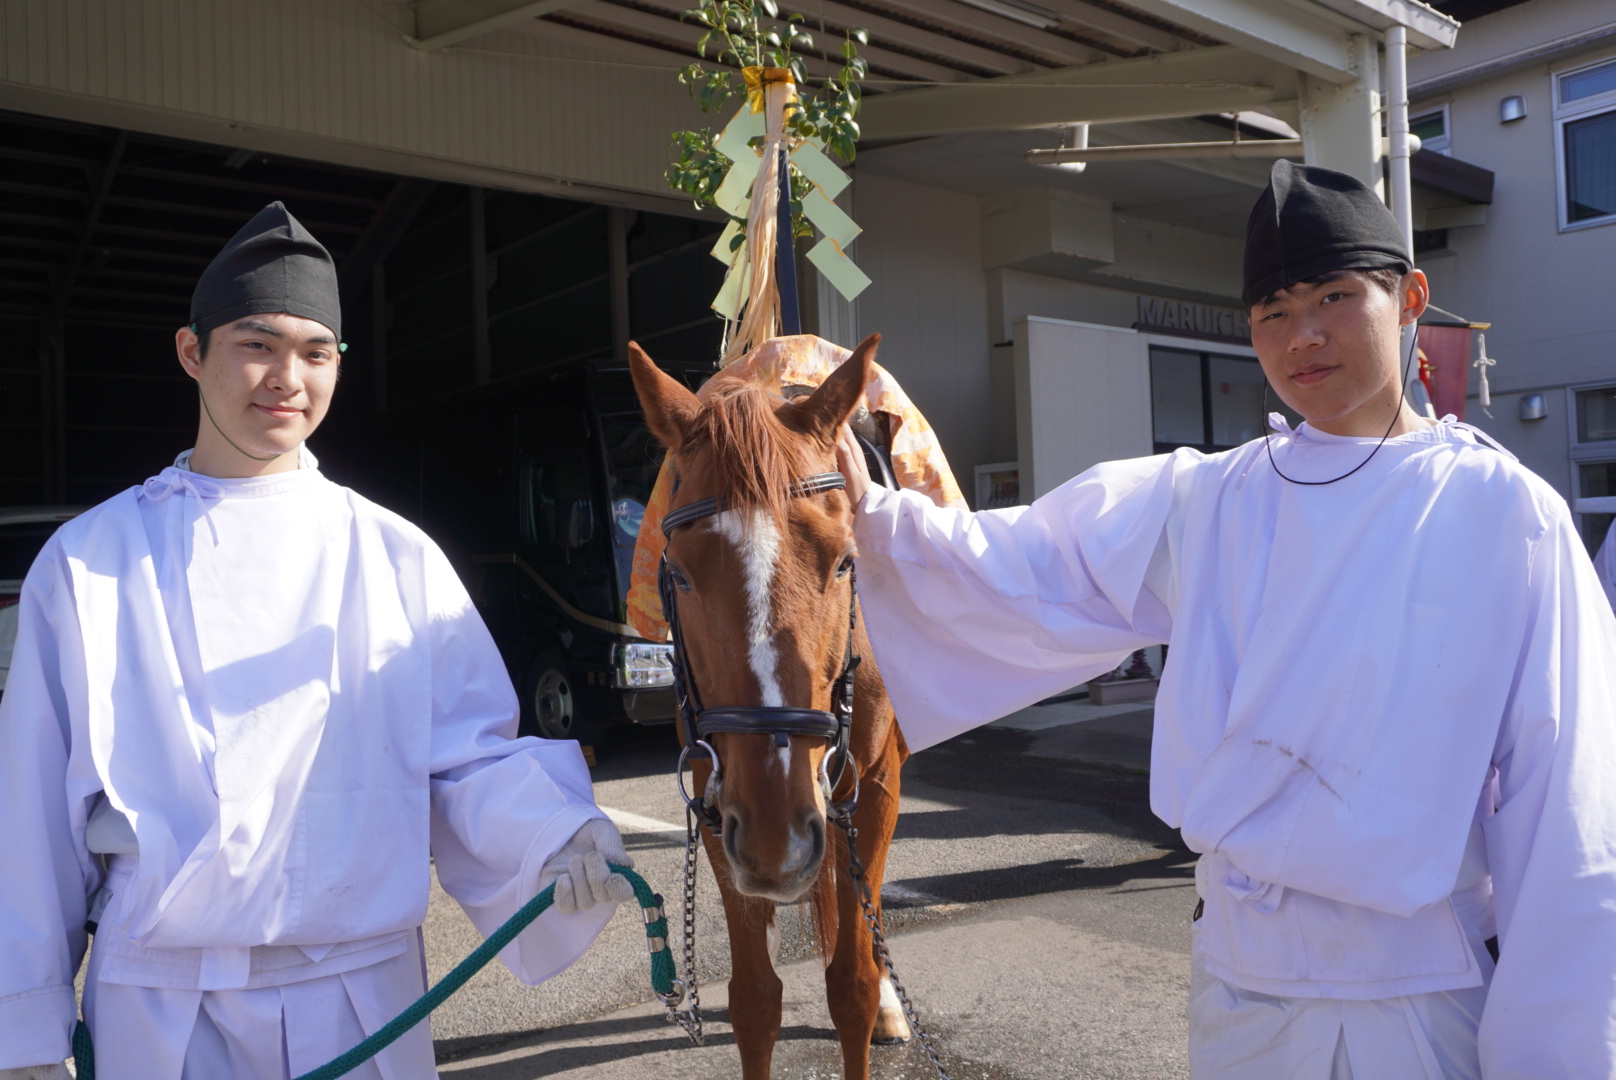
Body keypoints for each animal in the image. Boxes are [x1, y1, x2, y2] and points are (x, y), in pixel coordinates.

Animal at [627, 334, 911, 1080]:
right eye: (678, 572)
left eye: (844, 562)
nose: (778, 837)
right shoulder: (717, 797)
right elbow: (755, 1000)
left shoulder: (871, 785)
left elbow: (852, 986)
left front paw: (873, 998)